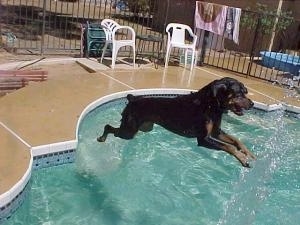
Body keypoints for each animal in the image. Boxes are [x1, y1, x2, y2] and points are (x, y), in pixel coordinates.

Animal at [98, 77, 255, 167]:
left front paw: (247, 152)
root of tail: (132, 98)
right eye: (239, 93)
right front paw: (242, 158)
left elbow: (235, 140)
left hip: (144, 127)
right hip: (129, 131)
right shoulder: (203, 139)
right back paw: (102, 138)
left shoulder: (216, 132)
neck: (212, 105)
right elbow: (229, 147)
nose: (252, 104)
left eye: (245, 92)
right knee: (109, 127)